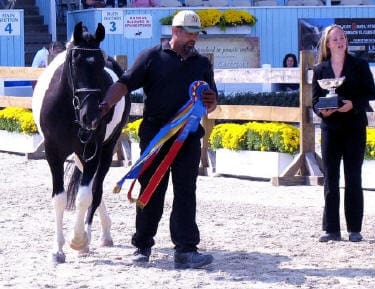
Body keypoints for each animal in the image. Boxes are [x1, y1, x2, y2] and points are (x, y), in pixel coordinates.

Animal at [31, 21, 131, 262]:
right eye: (75, 63)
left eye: (100, 66)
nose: (91, 116)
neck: (69, 109)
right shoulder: (53, 152)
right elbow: (59, 197)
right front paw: (57, 250)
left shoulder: (93, 150)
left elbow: (85, 196)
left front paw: (78, 241)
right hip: (78, 155)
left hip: (106, 148)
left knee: (96, 187)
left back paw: (96, 236)